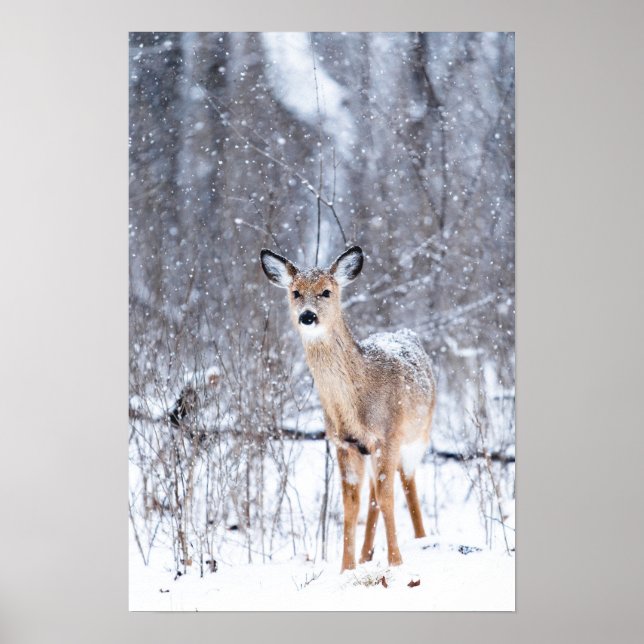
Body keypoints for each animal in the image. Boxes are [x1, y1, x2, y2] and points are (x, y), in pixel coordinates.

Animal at [260, 245, 436, 572]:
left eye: (326, 291)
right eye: (295, 292)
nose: (307, 316)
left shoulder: (388, 436)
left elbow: (388, 497)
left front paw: (396, 562)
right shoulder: (345, 443)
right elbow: (351, 505)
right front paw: (347, 568)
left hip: (418, 435)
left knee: (407, 484)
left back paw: (421, 539)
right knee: (373, 495)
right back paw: (367, 555)